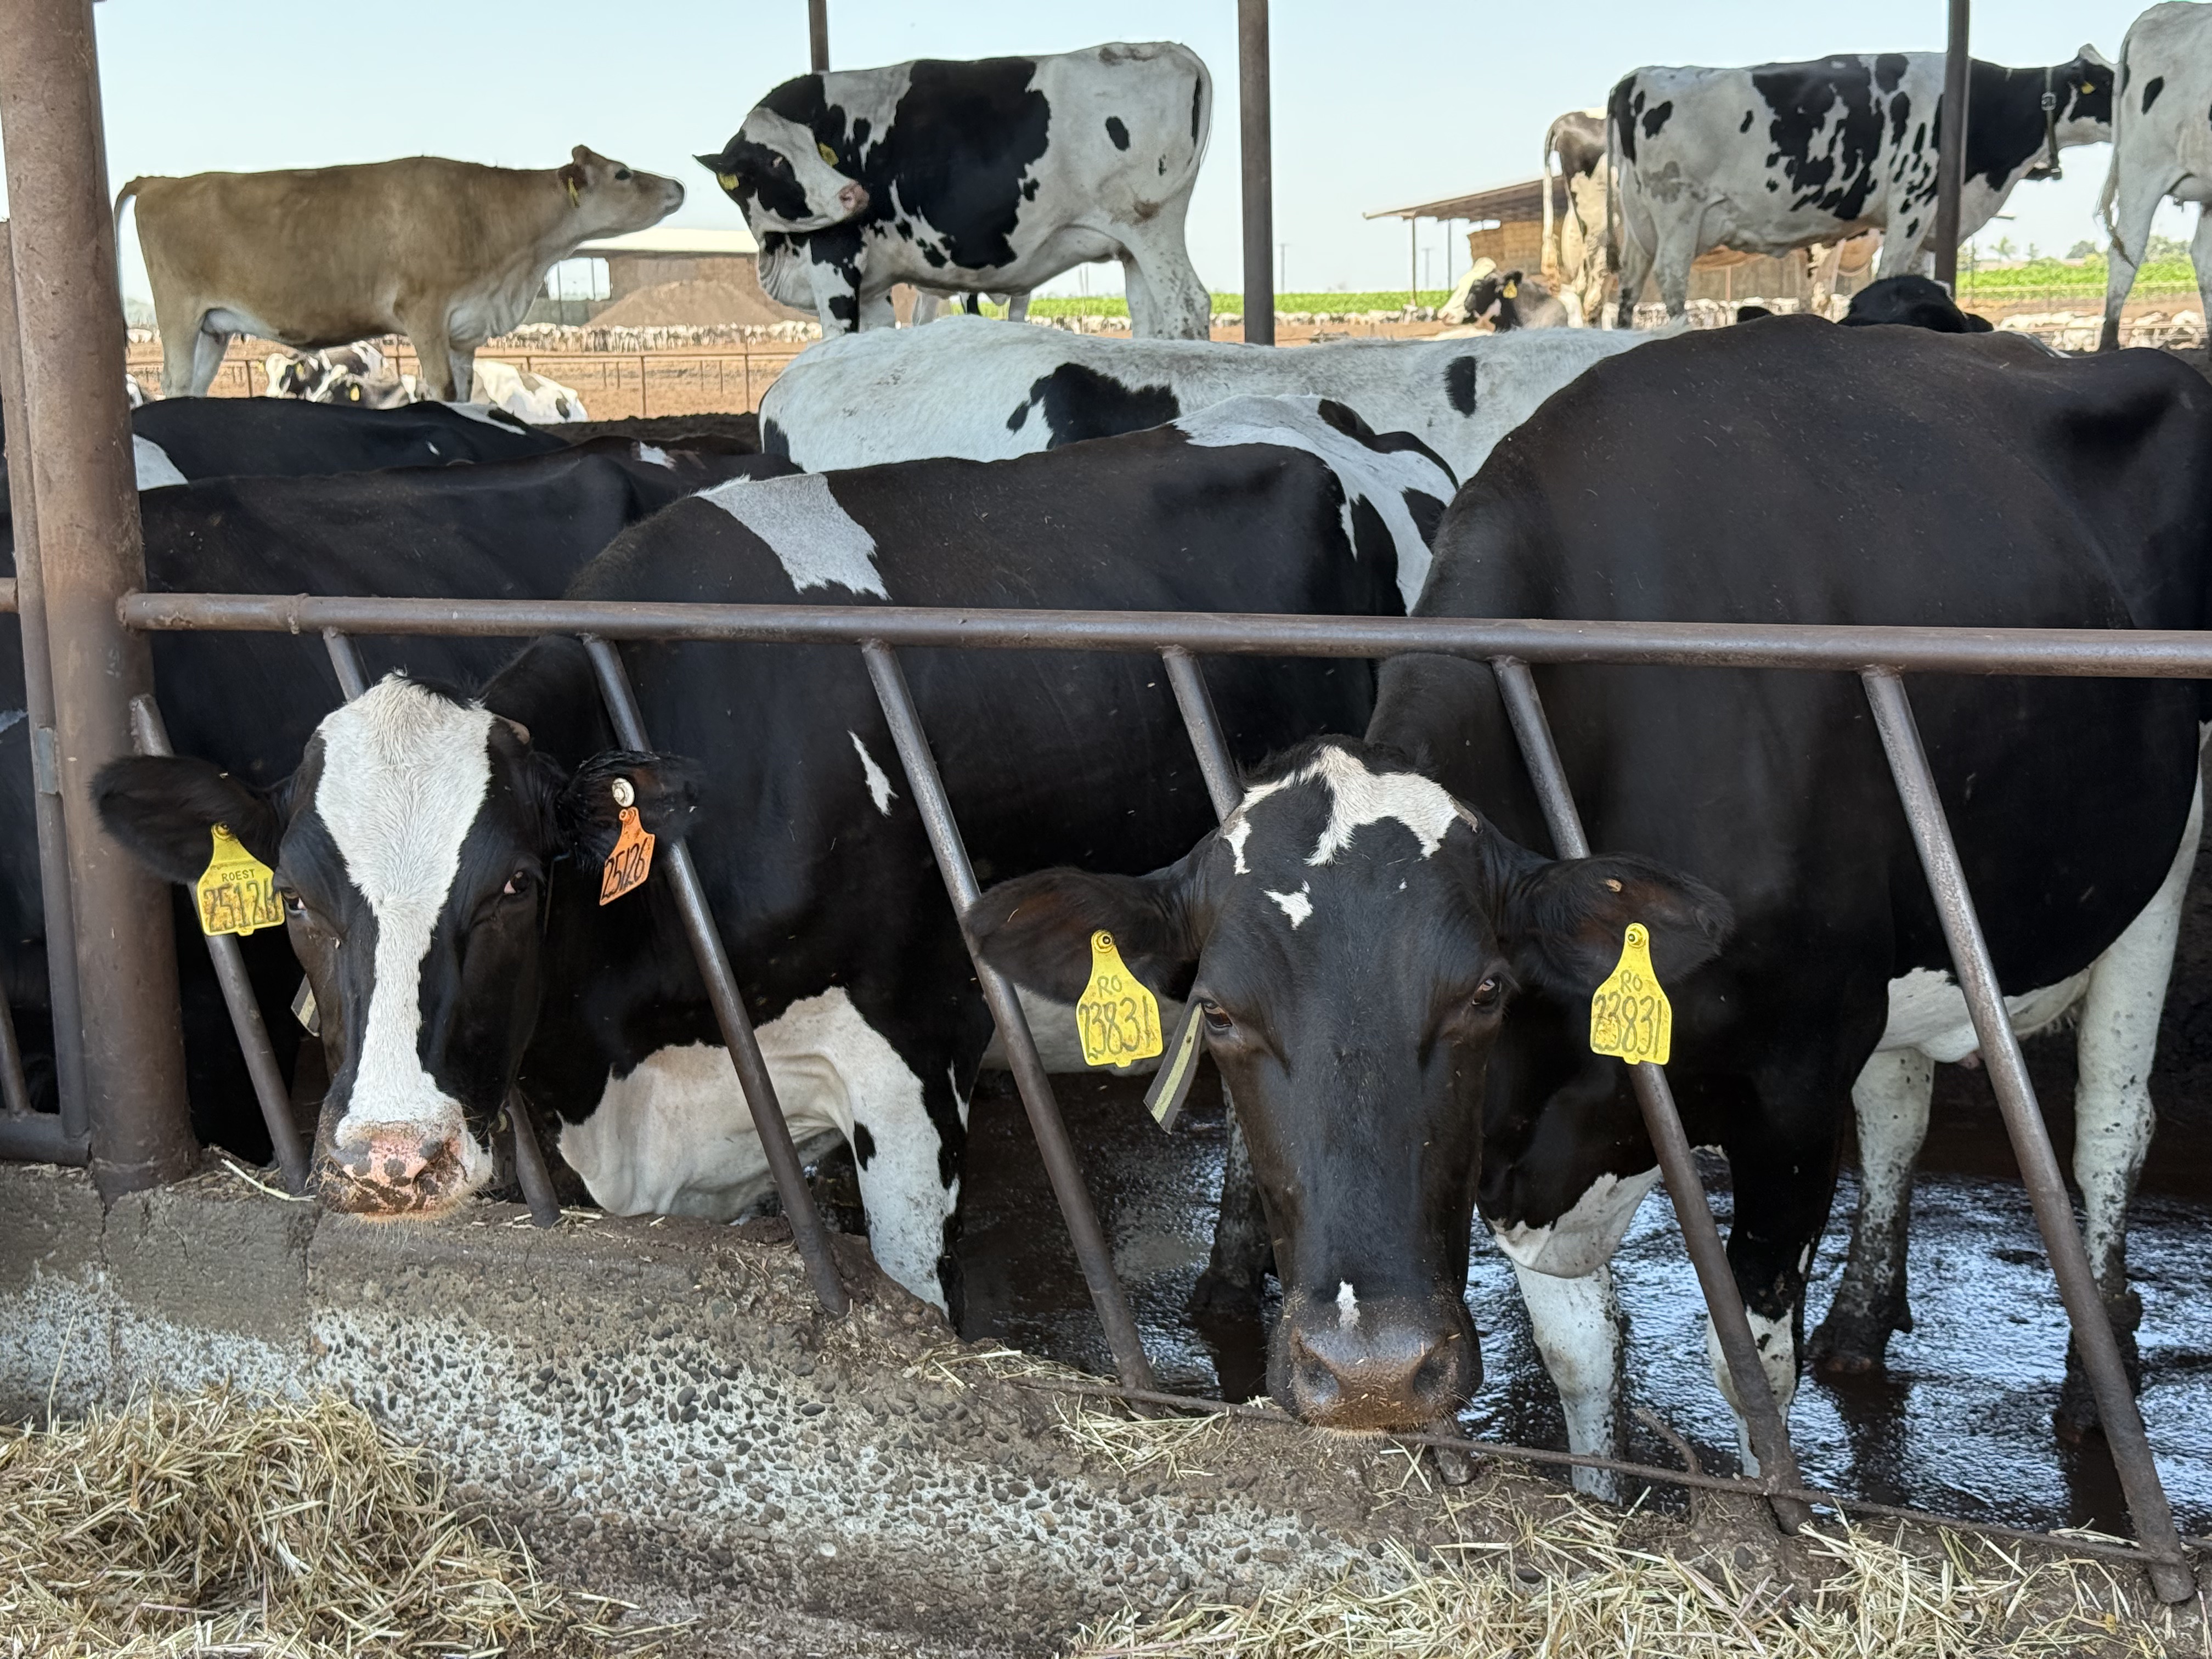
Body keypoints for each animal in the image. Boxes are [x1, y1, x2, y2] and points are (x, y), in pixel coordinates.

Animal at [118, 147, 682, 400]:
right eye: (623, 173)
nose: (678, 185)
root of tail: (160, 181)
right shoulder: (424, 314)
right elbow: (442, 390)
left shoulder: (462, 331)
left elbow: (464, 389)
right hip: (179, 316)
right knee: (173, 382)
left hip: (213, 328)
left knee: (189, 388)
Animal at [695, 44, 1212, 338]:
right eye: (775, 160)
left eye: (816, 149)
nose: (854, 195)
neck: (777, 248)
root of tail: (1163, 48)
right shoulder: (873, 288)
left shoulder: (835, 263)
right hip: (1130, 246)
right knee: (1150, 321)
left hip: (1152, 226)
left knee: (1188, 307)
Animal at [960, 321, 2210, 1483]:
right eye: (1215, 1012)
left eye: (1481, 991)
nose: (1369, 1372)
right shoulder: (1534, 1157)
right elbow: (1578, 1359)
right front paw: (1601, 1494)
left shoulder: (1789, 1087)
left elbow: (1749, 1370)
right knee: (1903, 1100)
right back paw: (1864, 1318)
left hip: (2160, 871)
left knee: (2110, 1122)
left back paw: (2097, 1384)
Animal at [1608, 50, 2114, 324]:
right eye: (2110, 80)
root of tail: (1638, 76)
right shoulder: (1912, 201)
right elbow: (1890, 274)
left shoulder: (1933, 225)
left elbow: (1927, 279)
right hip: (1679, 210)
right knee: (1671, 280)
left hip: (1640, 224)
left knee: (1629, 288)